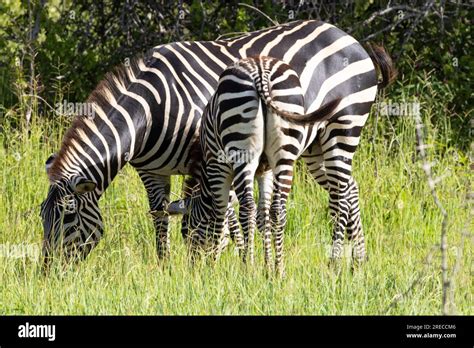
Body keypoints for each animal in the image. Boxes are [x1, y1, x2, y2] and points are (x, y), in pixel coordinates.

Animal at [40, 19, 394, 266]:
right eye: (43, 217)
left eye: (68, 218)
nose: (48, 272)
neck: (149, 112)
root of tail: (347, 36)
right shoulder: (152, 170)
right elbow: (160, 217)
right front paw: (166, 267)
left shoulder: (203, 158)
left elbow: (206, 219)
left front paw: (220, 262)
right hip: (314, 145)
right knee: (349, 189)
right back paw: (356, 263)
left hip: (342, 126)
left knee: (341, 192)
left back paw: (339, 263)